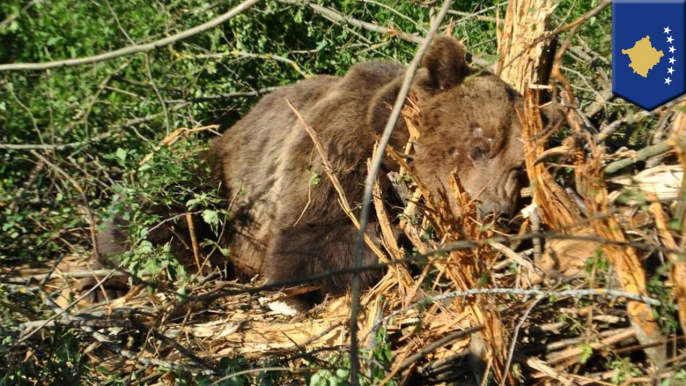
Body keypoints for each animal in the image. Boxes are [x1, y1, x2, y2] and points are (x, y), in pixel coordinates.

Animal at [91, 36, 528, 306]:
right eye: (479, 145)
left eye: (520, 168)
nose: (494, 210)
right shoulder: (333, 151)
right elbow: (307, 244)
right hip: (220, 178)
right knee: (158, 210)